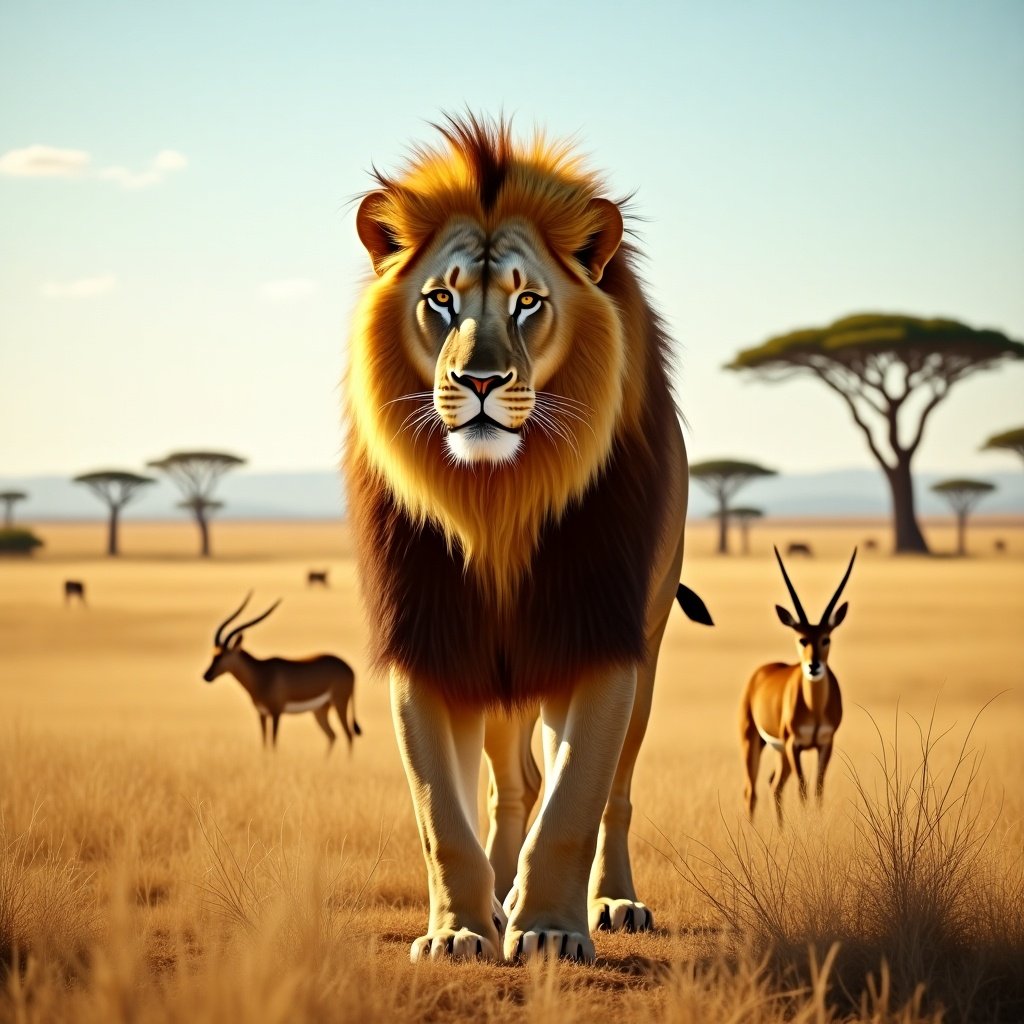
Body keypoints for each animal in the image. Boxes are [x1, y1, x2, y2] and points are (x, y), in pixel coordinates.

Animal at [201, 593, 362, 753]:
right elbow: (264, 745)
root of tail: (349, 668)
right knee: (332, 736)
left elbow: (273, 744)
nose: (206, 676)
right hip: (320, 710)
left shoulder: (276, 713)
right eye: (214, 653)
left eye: (222, 655)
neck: (260, 673)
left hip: (340, 704)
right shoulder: (262, 714)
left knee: (349, 735)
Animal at [348, 116, 692, 962]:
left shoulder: (600, 638)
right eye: (440, 299)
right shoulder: (431, 638)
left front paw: (551, 931)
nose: (478, 382)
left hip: (646, 645)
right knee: (513, 786)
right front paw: (459, 930)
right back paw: (497, 900)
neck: (495, 503)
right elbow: (443, 815)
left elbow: (575, 802)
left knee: (614, 793)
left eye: (528, 301)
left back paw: (612, 903)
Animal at [737, 544, 856, 823]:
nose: (814, 666)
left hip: (781, 752)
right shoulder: (795, 744)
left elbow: (818, 790)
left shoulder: (825, 744)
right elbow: (802, 791)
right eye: (802, 638)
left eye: (826, 638)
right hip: (753, 741)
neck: (815, 708)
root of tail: (761, 673)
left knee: (774, 784)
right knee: (752, 790)